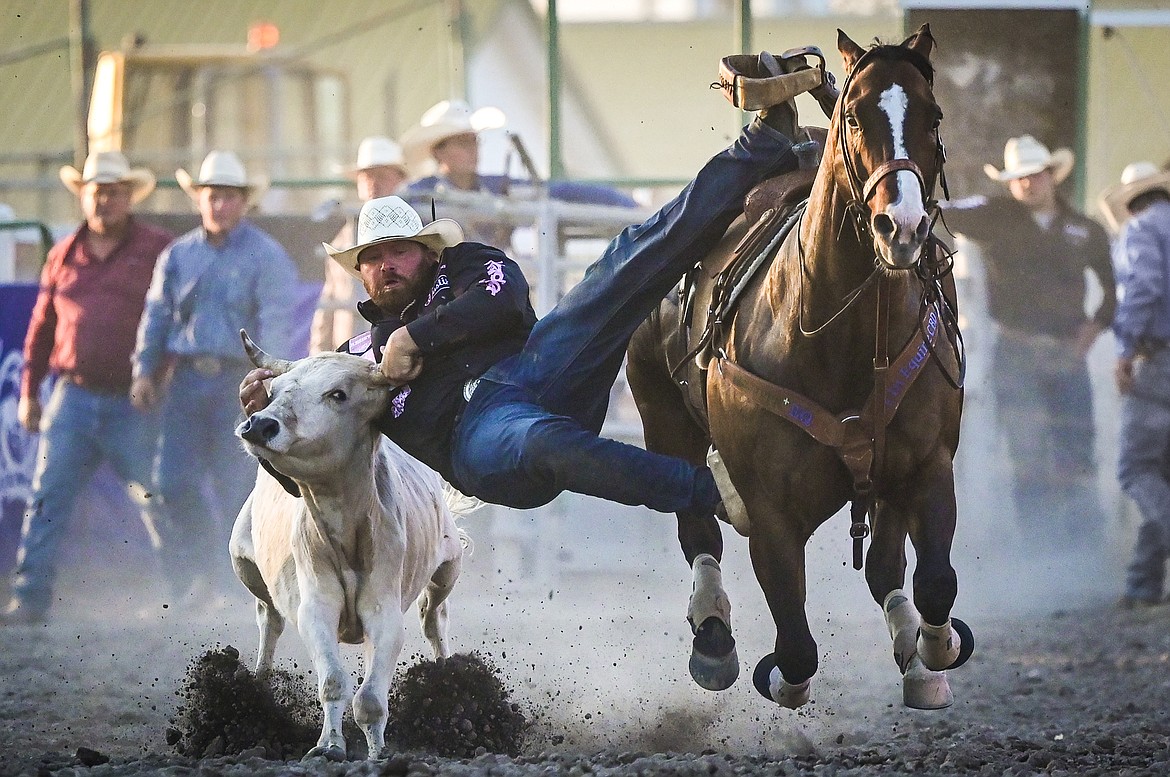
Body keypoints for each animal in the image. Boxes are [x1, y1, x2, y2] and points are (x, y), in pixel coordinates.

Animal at [627, 25, 973, 711]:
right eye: (854, 115)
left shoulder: (926, 465)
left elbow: (935, 581)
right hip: (662, 419)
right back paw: (713, 638)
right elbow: (795, 647)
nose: (903, 226)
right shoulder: (770, 512)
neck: (837, 340)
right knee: (698, 532)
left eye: (933, 115)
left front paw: (935, 649)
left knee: (886, 566)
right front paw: (780, 674)